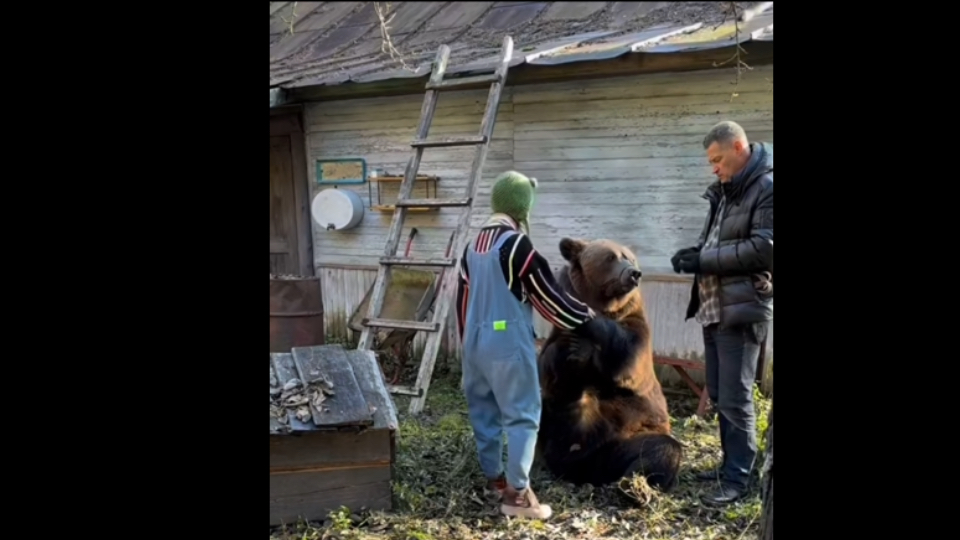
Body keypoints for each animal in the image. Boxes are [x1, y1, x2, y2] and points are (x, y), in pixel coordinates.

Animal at [540, 238, 684, 492]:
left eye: (631, 258)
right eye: (611, 257)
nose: (634, 273)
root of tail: (583, 470)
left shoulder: (634, 329)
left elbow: (626, 355)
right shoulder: (556, 338)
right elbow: (550, 369)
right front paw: (573, 349)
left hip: (627, 435)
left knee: (660, 449)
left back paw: (636, 487)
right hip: (554, 430)